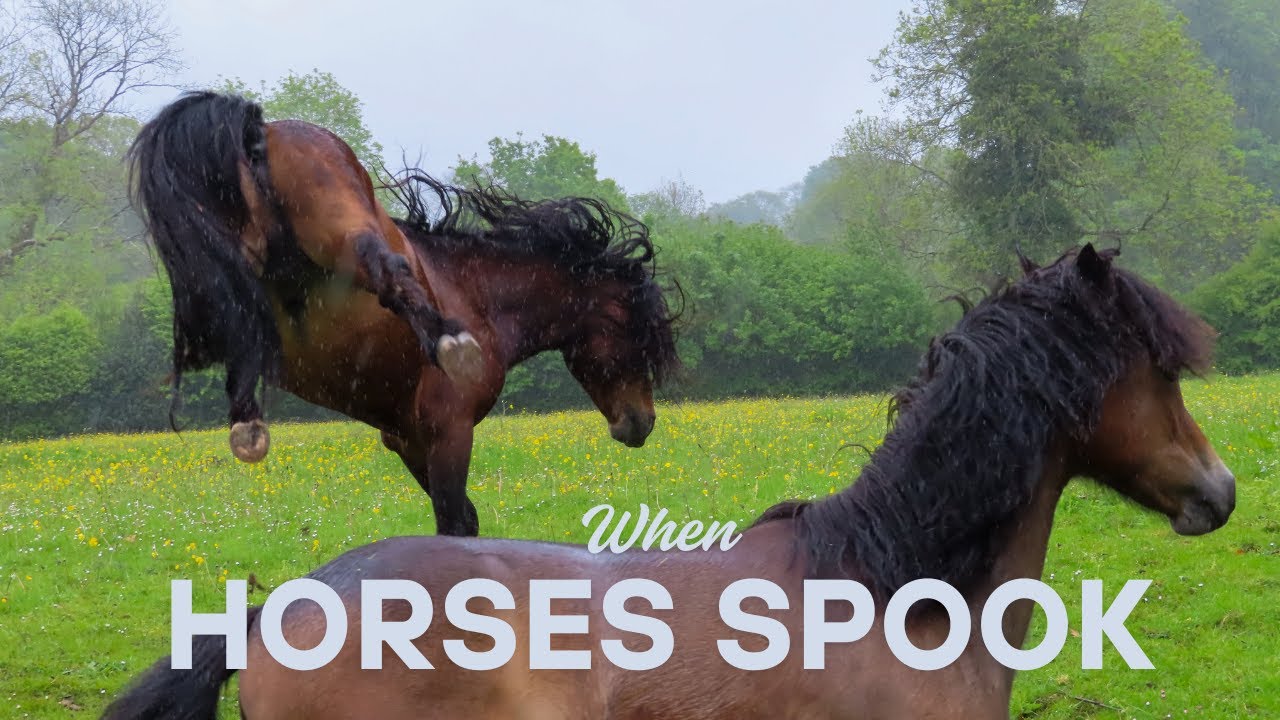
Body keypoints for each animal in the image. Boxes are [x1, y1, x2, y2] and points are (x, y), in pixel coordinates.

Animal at [127, 91, 679, 536]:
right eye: (640, 336)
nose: (642, 423)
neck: (476, 295)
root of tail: (259, 132)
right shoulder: (448, 431)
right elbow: (455, 523)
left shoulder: (406, 439)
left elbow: (460, 519)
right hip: (338, 219)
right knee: (382, 262)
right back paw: (448, 343)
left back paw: (246, 421)